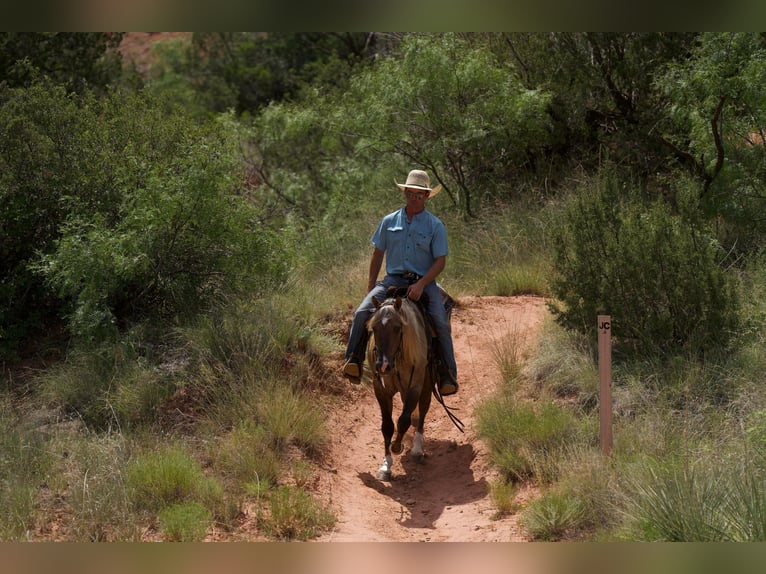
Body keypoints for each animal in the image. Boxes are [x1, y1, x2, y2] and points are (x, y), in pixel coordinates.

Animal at [366, 290, 462, 484]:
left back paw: (417, 450)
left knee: (422, 411)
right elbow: (387, 426)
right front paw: (386, 466)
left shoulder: (415, 386)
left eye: (397, 327)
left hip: (425, 383)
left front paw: (397, 446)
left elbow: (404, 420)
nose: (383, 365)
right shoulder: (381, 390)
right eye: (374, 328)